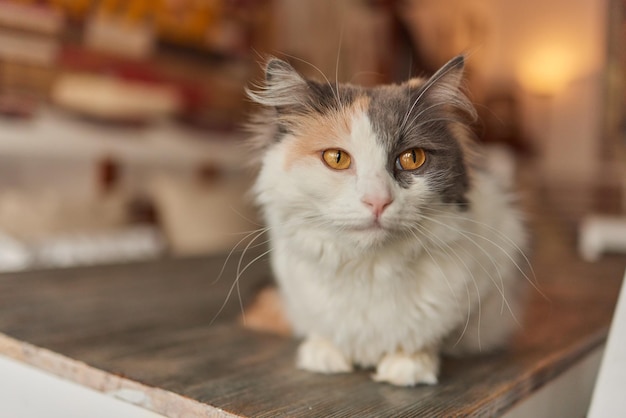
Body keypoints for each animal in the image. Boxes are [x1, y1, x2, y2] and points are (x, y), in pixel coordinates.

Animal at [244, 54, 528, 386]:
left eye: (412, 158)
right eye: (336, 158)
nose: (377, 201)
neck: (370, 269)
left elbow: (425, 337)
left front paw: (408, 366)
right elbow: (321, 327)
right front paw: (325, 355)